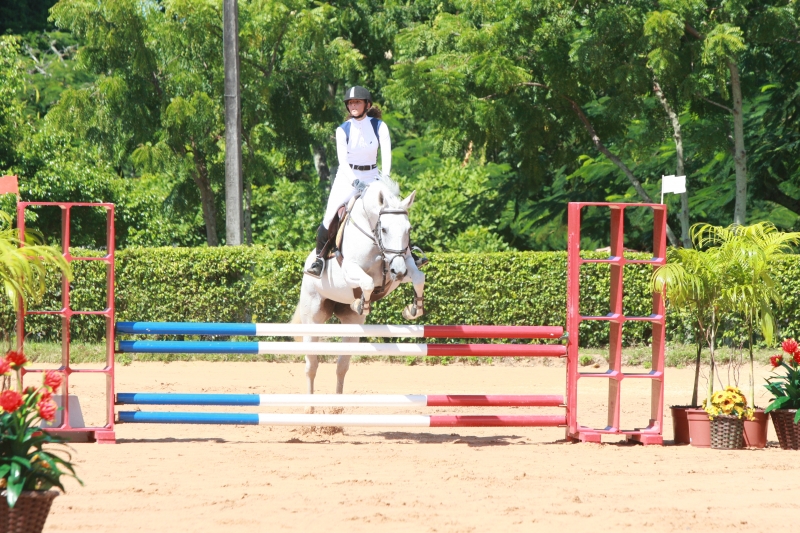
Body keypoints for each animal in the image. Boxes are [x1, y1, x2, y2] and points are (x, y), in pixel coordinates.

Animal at [292, 177, 425, 396]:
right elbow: (368, 282)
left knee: (341, 365)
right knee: (311, 365)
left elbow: (419, 278)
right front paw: (361, 303)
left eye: (409, 229)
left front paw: (413, 310)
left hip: (351, 325)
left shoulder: (404, 265)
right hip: (313, 318)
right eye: (384, 229)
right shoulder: (350, 270)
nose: (397, 270)